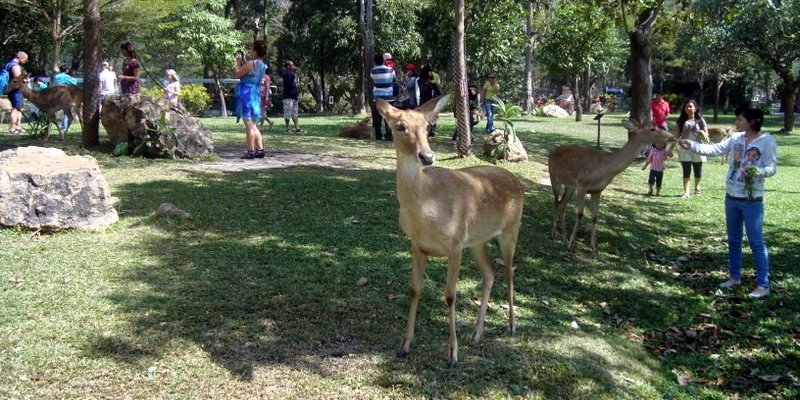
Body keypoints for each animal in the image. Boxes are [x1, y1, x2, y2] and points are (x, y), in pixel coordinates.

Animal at [376, 94, 524, 368]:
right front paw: (404, 345)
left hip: (511, 229)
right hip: (477, 241)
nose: (426, 156)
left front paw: (453, 355)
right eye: (400, 126)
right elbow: (415, 289)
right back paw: (476, 334)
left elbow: (450, 296)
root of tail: (518, 183)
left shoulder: (455, 245)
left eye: (427, 127)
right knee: (490, 272)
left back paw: (511, 327)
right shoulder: (416, 244)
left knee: (509, 272)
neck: (427, 207)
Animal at [548, 121, 672, 260]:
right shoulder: (582, 185)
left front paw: (594, 251)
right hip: (554, 178)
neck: (605, 169)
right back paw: (554, 234)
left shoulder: (597, 190)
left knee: (562, 204)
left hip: (570, 186)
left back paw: (563, 238)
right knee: (556, 202)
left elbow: (594, 217)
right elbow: (580, 214)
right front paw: (571, 246)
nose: (671, 137)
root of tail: (552, 152)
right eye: (652, 128)